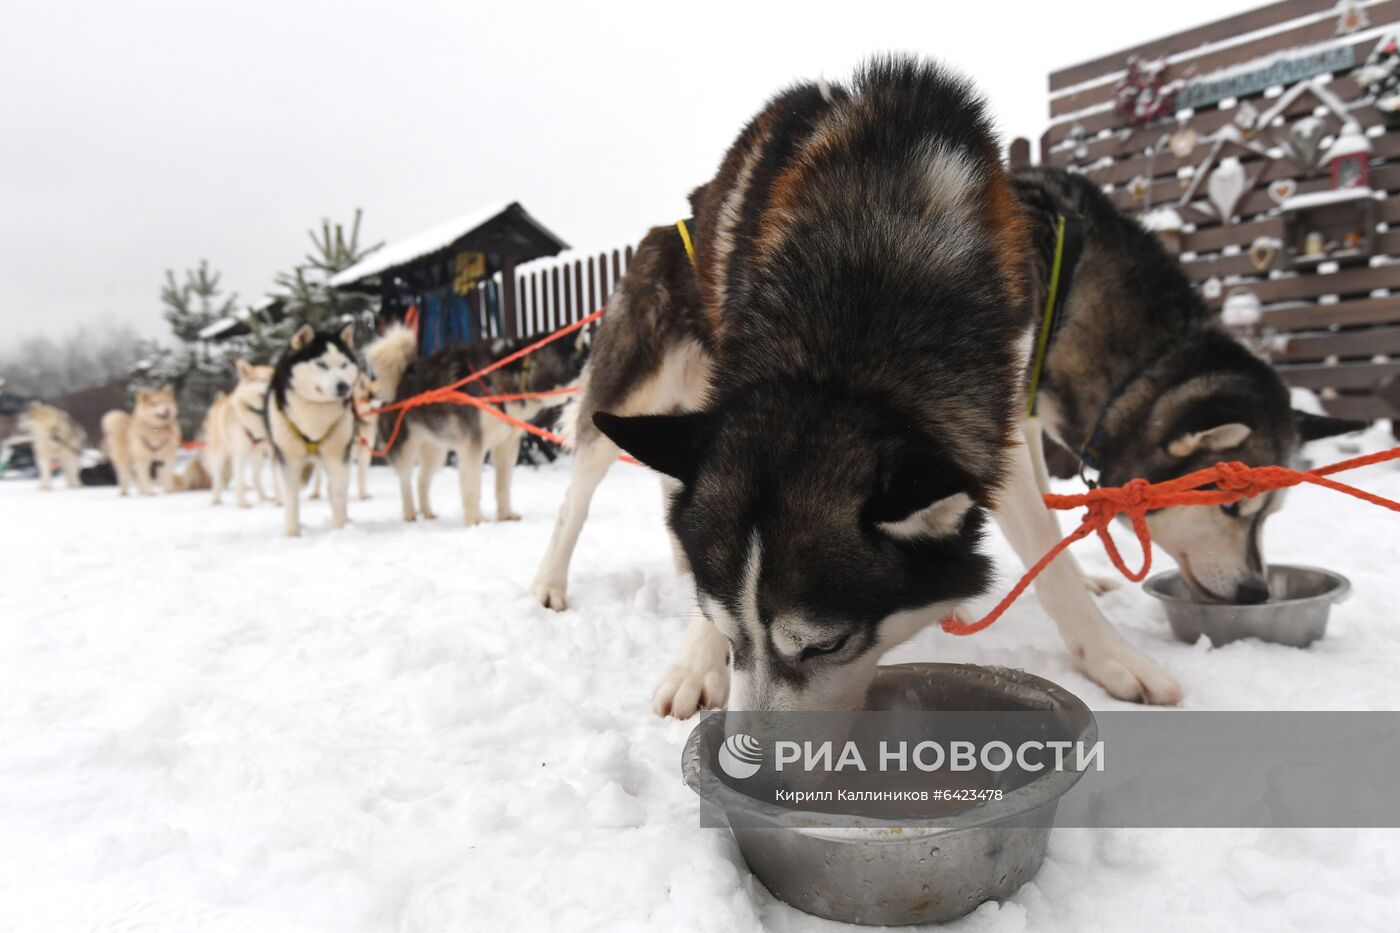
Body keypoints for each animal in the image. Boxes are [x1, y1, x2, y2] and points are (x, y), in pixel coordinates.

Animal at [201, 358, 274, 509]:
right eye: (263, 380)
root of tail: (220, 401)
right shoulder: (240, 453)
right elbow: (239, 481)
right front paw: (242, 503)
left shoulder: (273, 449)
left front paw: (281, 502)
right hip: (219, 455)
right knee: (217, 477)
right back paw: (215, 499)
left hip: (258, 455)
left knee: (255, 477)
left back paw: (264, 498)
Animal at [264, 323, 358, 535]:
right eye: (322, 365)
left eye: (344, 365)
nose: (344, 386)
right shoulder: (288, 459)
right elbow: (291, 499)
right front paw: (292, 534)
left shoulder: (338, 456)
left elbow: (338, 494)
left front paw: (340, 530)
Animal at [366, 319, 585, 523]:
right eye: (585, 362)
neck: (518, 374)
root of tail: (398, 378)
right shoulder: (473, 445)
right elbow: (473, 486)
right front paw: (475, 520)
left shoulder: (507, 445)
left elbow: (503, 486)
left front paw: (505, 515)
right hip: (405, 447)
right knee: (405, 481)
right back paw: (410, 513)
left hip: (436, 451)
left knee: (422, 480)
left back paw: (427, 512)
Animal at [526, 56, 1103, 711]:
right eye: (730, 633)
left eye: (826, 645)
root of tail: (660, 231)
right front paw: (696, 665)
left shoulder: (994, 416)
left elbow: (1047, 550)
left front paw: (1114, 658)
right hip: (631, 396)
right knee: (575, 499)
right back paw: (550, 582)